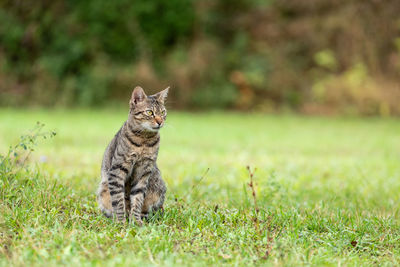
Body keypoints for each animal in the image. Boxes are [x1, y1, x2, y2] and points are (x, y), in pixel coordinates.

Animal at [97, 86, 168, 226]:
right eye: (150, 112)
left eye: (163, 112)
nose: (160, 121)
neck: (144, 140)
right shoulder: (118, 169)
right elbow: (118, 200)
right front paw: (121, 222)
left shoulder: (144, 171)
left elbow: (137, 198)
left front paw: (135, 221)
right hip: (103, 190)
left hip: (158, 189)